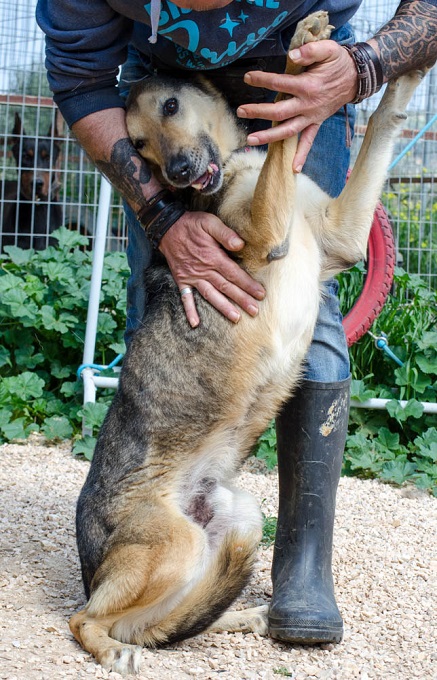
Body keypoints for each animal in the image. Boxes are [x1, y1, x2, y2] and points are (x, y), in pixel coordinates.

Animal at [69, 10, 426, 676]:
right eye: (138, 148)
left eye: (172, 106)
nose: (178, 177)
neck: (236, 166)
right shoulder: (265, 232)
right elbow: (284, 139)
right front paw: (300, 48)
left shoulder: (342, 236)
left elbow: (380, 125)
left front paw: (399, 72)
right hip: (174, 544)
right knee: (91, 622)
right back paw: (112, 651)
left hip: (242, 522)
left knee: (166, 624)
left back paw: (244, 617)